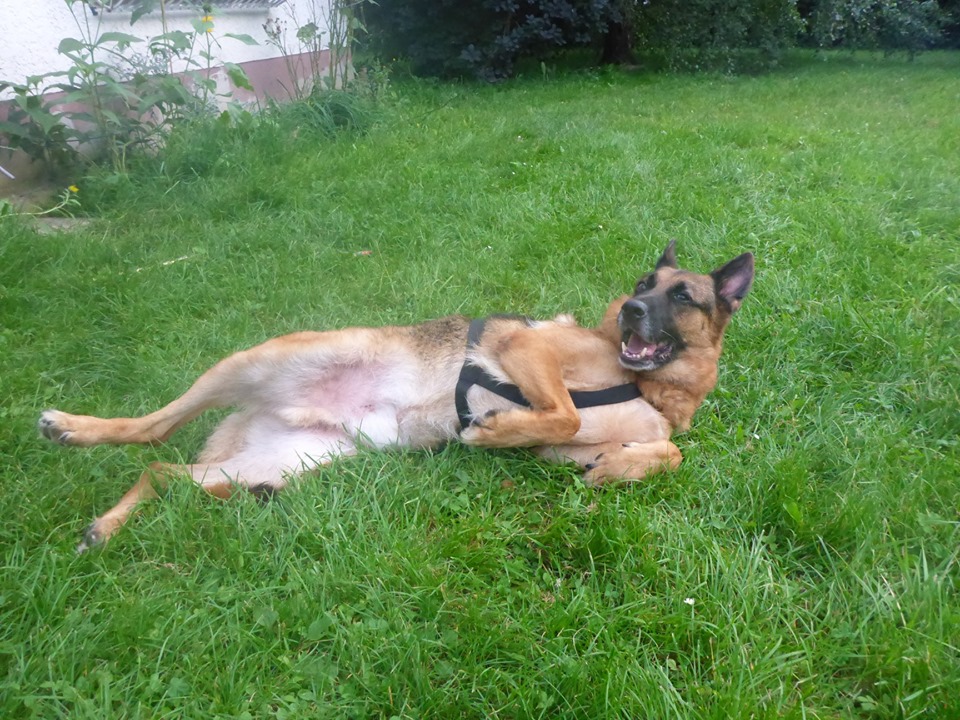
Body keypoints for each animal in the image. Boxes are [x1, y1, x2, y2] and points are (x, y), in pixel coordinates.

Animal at [38, 241, 753, 551]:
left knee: (162, 470)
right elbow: (564, 412)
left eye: (681, 295)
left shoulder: (568, 452)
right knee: (154, 429)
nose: (632, 310)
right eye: (640, 285)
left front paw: (617, 468)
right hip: (258, 361)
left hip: (271, 469)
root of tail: (262, 411)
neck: (651, 386)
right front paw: (492, 429)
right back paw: (73, 428)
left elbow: (662, 454)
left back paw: (105, 526)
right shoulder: (531, 352)